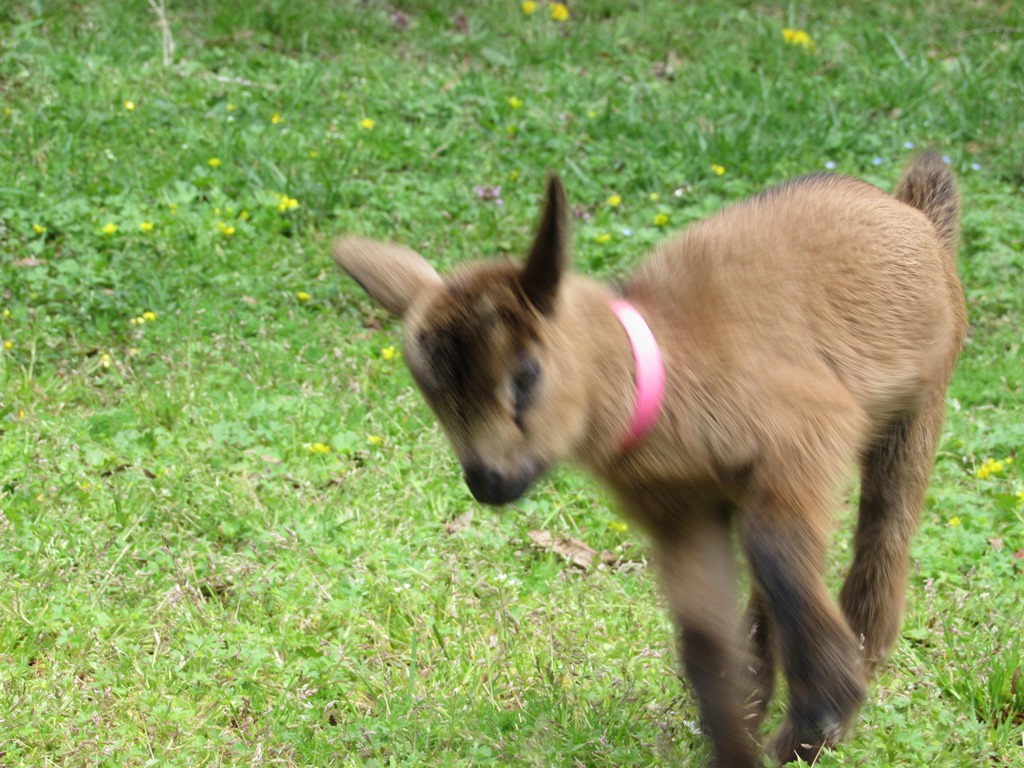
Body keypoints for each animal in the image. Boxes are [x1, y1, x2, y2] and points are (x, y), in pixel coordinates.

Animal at [331, 153, 962, 765]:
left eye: (526, 375)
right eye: (431, 395)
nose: (488, 482)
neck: (673, 376)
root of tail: (916, 215)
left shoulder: (810, 430)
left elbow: (774, 551)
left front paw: (821, 717)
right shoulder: (680, 511)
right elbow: (704, 641)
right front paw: (739, 742)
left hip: (919, 402)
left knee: (879, 530)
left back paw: (854, 660)